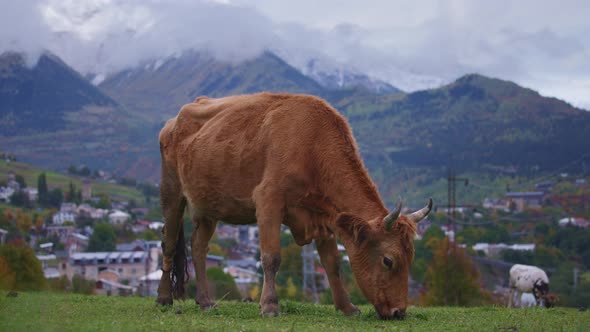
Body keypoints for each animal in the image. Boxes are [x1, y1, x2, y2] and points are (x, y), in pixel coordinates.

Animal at [157, 91, 434, 320]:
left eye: (411, 258)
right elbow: (271, 257)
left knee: (198, 246)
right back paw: (164, 298)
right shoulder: (268, 201)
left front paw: (347, 307)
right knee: (169, 244)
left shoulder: (324, 216)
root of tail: (174, 120)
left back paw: (205, 301)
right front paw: (269, 305)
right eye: (388, 260)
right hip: (171, 193)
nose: (399, 312)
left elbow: (333, 263)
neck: (311, 143)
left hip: (208, 208)